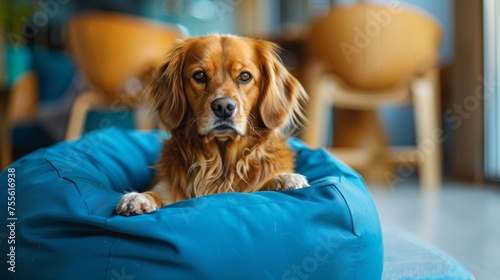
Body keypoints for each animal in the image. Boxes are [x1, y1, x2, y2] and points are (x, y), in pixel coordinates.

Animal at [117, 34, 308, 215]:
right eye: (199, 75)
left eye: (245, 76)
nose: (223, 107)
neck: (221, 163)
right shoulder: (165, 187)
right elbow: (155, 193)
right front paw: (139, 197)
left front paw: (285, 179)